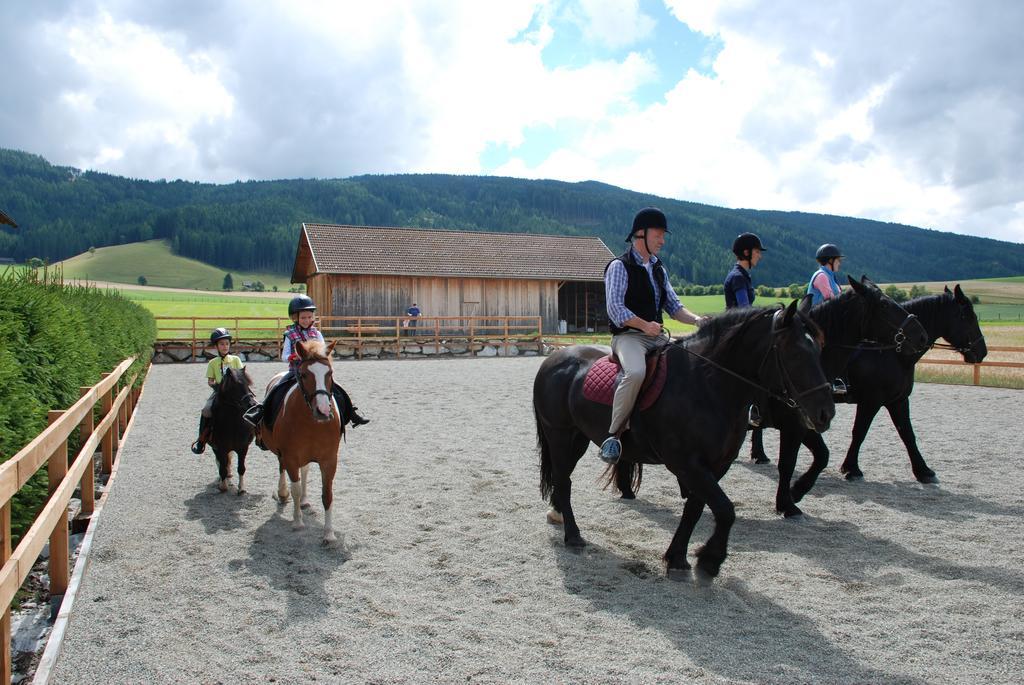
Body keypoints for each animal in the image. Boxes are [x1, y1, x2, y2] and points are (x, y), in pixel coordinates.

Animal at [260, 339, 344, 540]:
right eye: (304, 374)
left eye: (330, 373)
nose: (323, 410)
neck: (311, 423)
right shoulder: (290, 456)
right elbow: (295, 488)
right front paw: (297, 522)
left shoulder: (329, 460)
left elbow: (327, 493)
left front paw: (329, 534)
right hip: (283, 453)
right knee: (282, 468)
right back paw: (283, 493)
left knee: (304, 471)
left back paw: (304, 501)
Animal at [532, 301, 835, 573]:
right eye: (794, 353)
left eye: (819, 349)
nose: (826, 412)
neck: (708, 386)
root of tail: (554, 360)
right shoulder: (687, 464)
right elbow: (725, 509)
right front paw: (710, 560)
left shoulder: (714, 466)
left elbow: (696, 508)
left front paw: (678, 557)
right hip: (559, 436)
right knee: (563, 480)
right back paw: (573, 536)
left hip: (578, 439)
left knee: (562, 477)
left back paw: (557, 514)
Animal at [741, 274, 933, 516]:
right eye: (884, 304)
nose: (921, 335)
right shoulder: (799, 423)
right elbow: (795, 460)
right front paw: (793, 495)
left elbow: (823, 455)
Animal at [835, 282, 987, 481]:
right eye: (968, 317)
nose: (982, 351)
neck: (893, 353)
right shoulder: (870, 401)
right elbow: (859, 432)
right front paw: (851, 468)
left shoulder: (898, 400)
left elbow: (907, 434)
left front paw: (923, 470)